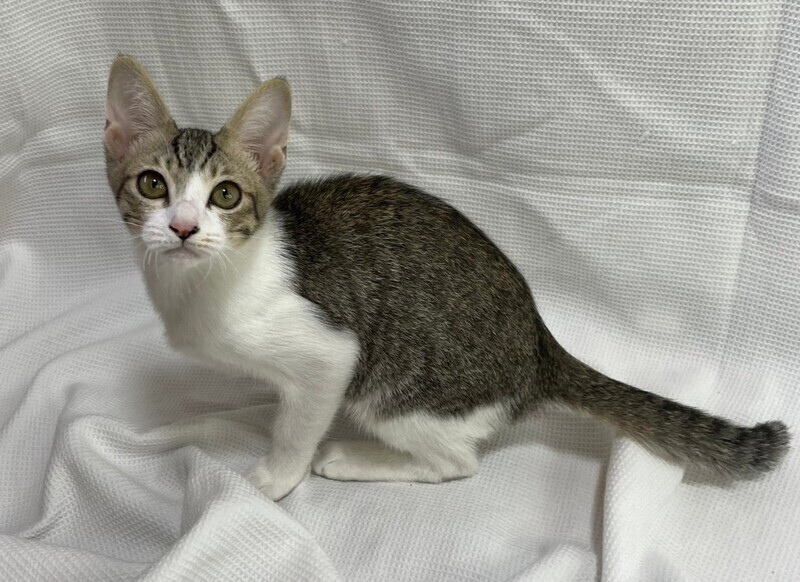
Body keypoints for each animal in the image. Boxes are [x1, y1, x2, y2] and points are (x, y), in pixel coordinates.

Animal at [105, 55, 790, 501]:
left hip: (398, 391)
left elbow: (298, 423)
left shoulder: (331, 354)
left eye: (224, 195)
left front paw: (274, 479)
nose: (184, 227)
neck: (210, 281)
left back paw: (358, 461)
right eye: (152, 185)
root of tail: (539, 345)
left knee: (456, 462)